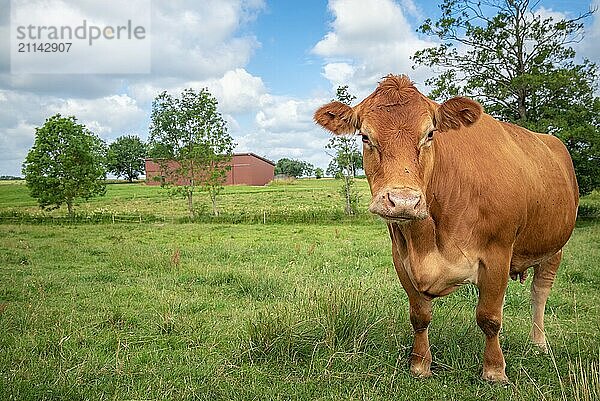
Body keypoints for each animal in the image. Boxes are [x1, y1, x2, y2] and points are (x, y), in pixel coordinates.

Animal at [316, 74, 580, 382]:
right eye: (365, 136)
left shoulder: (498, 254)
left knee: (540, 293)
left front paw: (494, 370)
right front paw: (420, 364)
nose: (403, 201)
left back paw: (539, 343)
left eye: (430, 134)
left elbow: (490, 318)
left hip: (555, 248)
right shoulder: (401, 258)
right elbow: (419, 316)